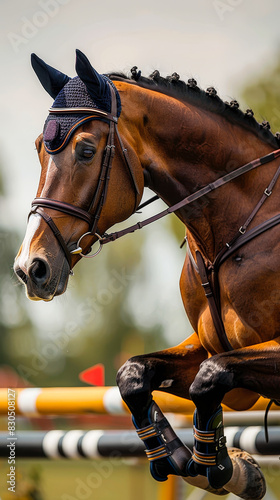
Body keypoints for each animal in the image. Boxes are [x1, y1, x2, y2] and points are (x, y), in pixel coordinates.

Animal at [13, 48, 280, 498]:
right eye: (38, 149)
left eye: (86, 151)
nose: (31, 268)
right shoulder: (207, 347)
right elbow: (134, 375)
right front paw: (184, 459)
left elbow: (211, 377)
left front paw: (222, 466)